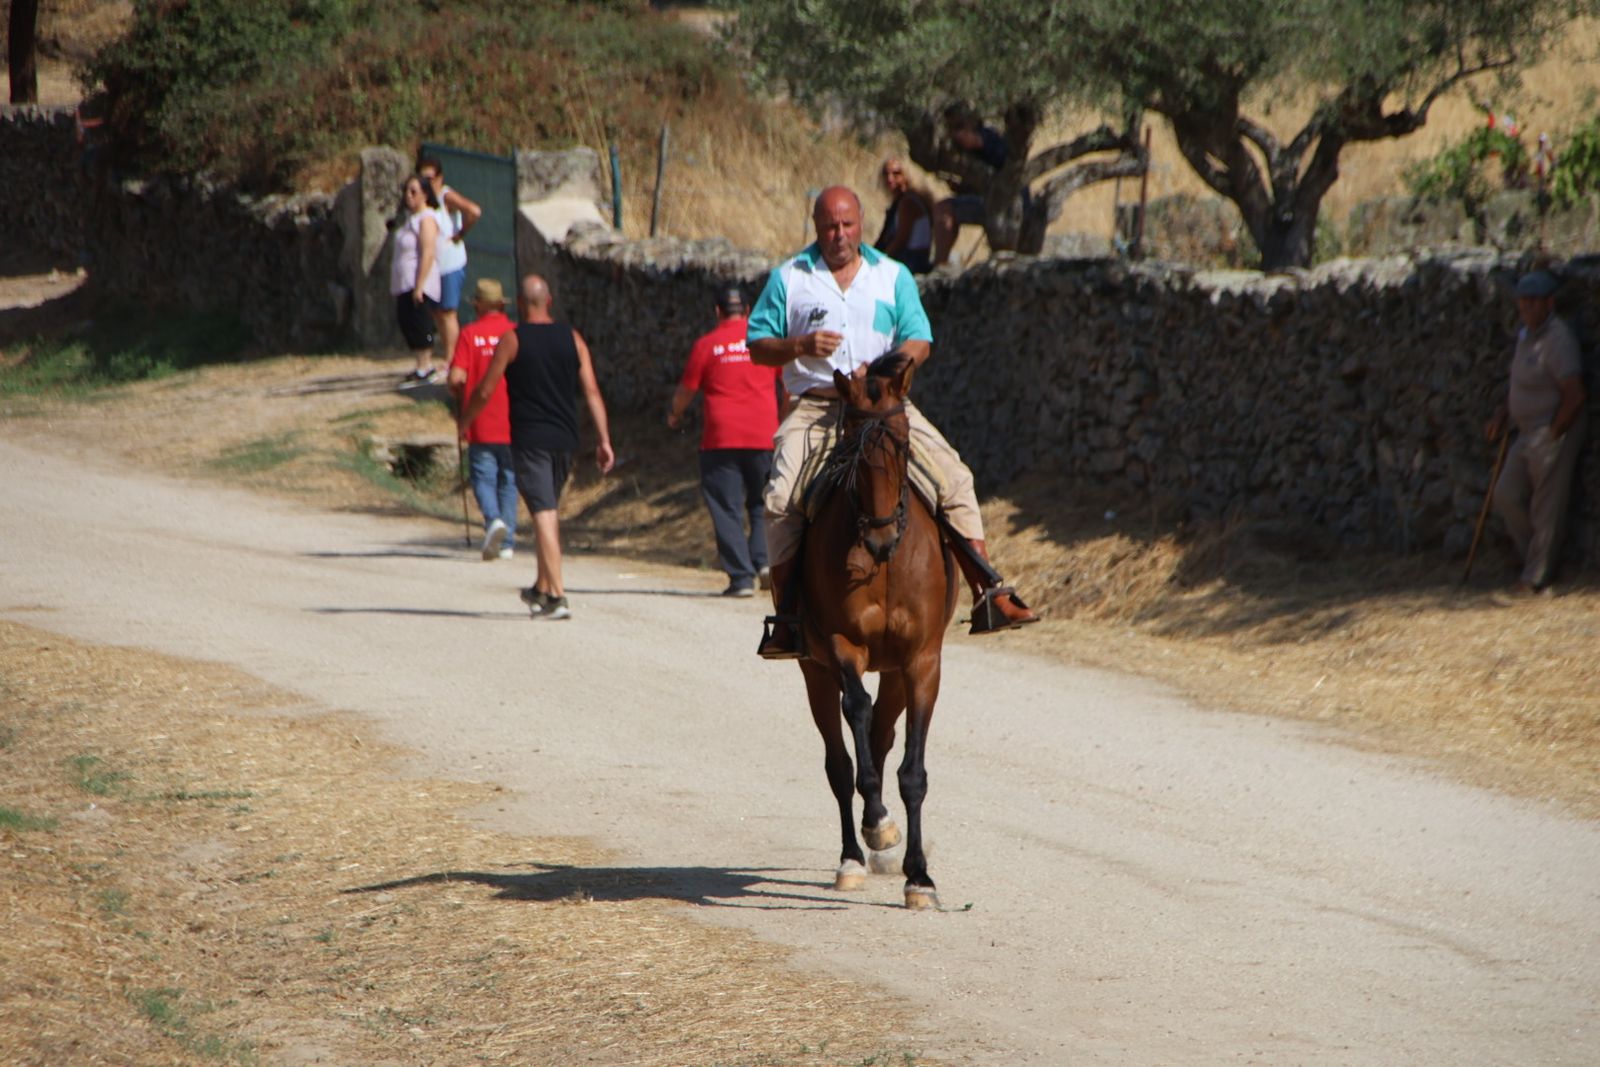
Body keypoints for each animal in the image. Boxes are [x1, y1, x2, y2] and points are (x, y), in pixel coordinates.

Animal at [796, 351, 958, 910]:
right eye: (850, 449)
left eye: (905, 445)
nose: (881, 537)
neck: (887, 564)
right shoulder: (843, 648)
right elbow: (857, 718)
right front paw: (879, 827)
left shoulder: (922, 660)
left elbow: (913, 772)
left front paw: (919, 876)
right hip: (814, 671)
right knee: (840, 762)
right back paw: (854, 854)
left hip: (894, 671)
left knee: (883, 738)